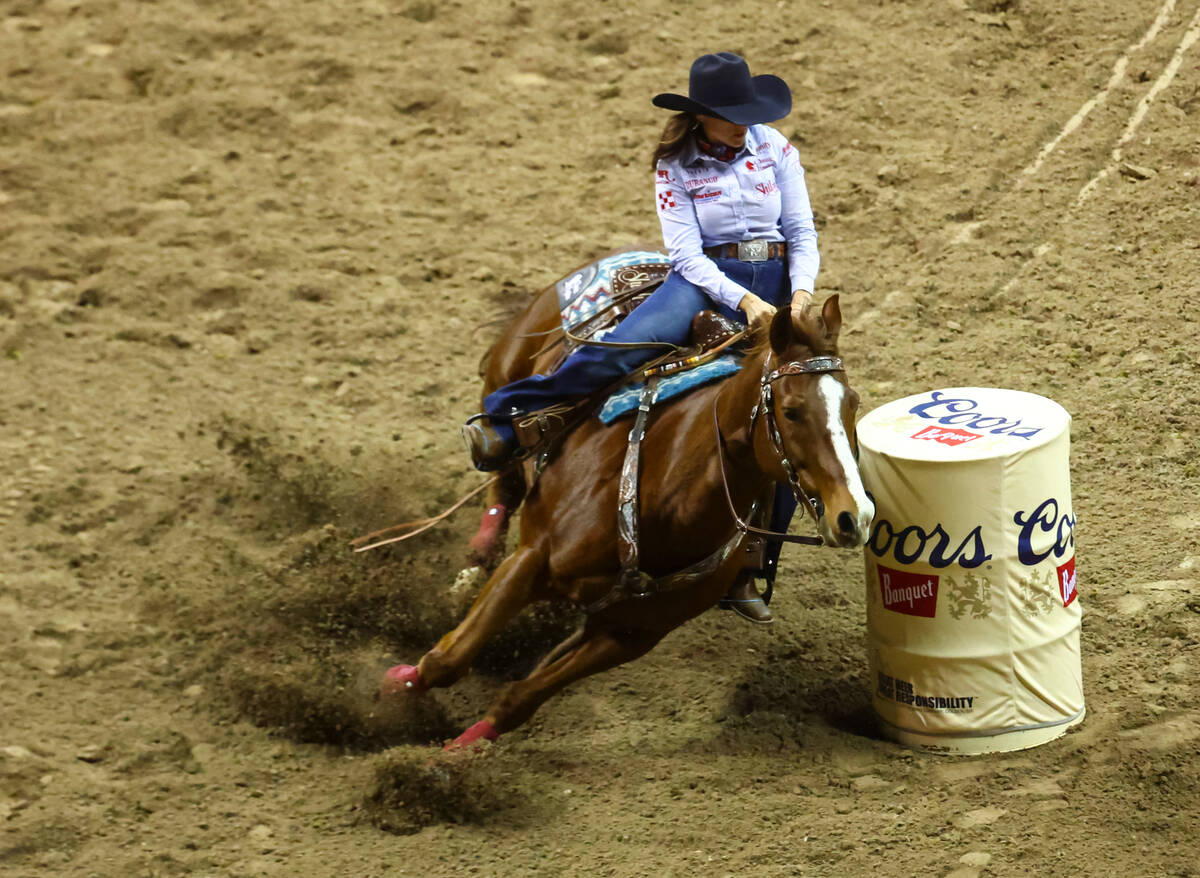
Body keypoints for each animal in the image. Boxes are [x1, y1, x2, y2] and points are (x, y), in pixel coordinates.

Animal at [381, 296, 873, 748]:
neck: (666, 496)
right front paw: (393, 690)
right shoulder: (532, 558)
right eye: (791, 411)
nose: (856, 516)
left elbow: (522, 698)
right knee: (503, 480)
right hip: (504, 386)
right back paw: (470, 569)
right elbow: (450, 658)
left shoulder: (631, 635)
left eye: (853, 402)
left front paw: (453, 755)